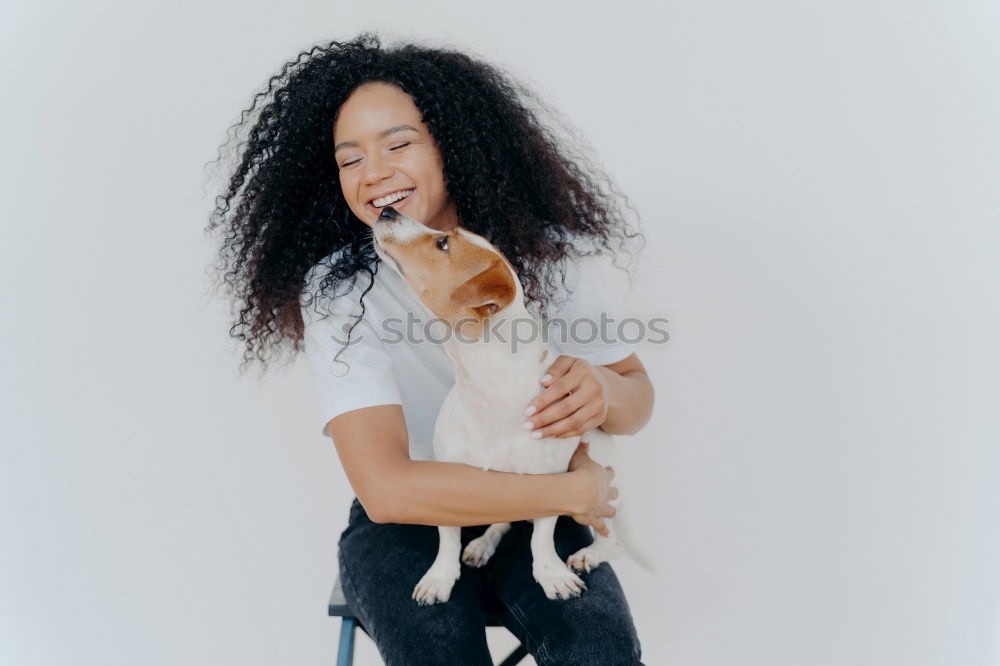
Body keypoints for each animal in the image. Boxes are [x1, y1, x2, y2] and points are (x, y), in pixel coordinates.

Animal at [374, 204, 640, 600]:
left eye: (442, 243)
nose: (388, 210)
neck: (488, 384)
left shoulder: (552, 482)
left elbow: (541, 538)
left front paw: (551, 574)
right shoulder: (448, 474)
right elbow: (447, 537)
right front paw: (441, 576)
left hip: (606, 496)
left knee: (613, 541)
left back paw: (590, 554)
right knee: (502, 522)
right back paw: (483, 543)